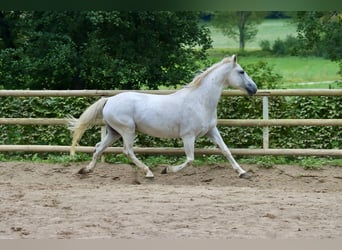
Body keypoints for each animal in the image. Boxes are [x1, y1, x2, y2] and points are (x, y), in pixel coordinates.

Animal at [69, 55, 256, 179]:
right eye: (241, 71)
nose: (254, 89)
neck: (200, 101)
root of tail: (109, 100)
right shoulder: (188, 136)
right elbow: (190, 159)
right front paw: (167, 169)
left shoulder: (212, 131)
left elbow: (226, 150)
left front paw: (242, 172)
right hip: (127, 130)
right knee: (127, 151)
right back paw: (149, 173)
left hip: (113, 132)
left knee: (99, 147)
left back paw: (86, 170)